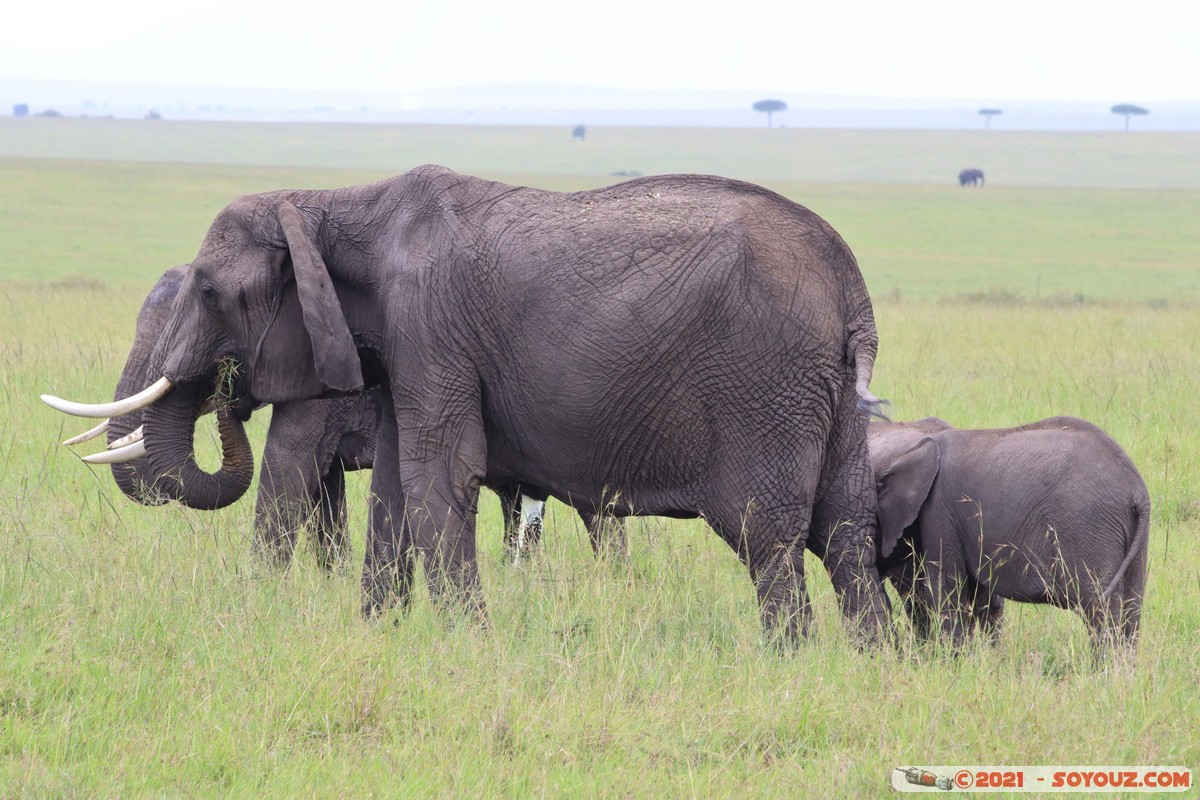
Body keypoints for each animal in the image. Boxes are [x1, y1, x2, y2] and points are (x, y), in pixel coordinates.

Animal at [44, 167, 892, 642]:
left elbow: (433, 480)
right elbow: (393, 490)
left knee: (766, 536)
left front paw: (466, 650)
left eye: (211, 290)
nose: (223, 389)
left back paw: (790, 664)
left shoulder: (430, 323)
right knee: (845, 531)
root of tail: (851, 286)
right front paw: (379, 639)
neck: (335, 205)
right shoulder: (397, 347)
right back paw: (870, 667)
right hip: (827, 400)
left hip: (766, 385)